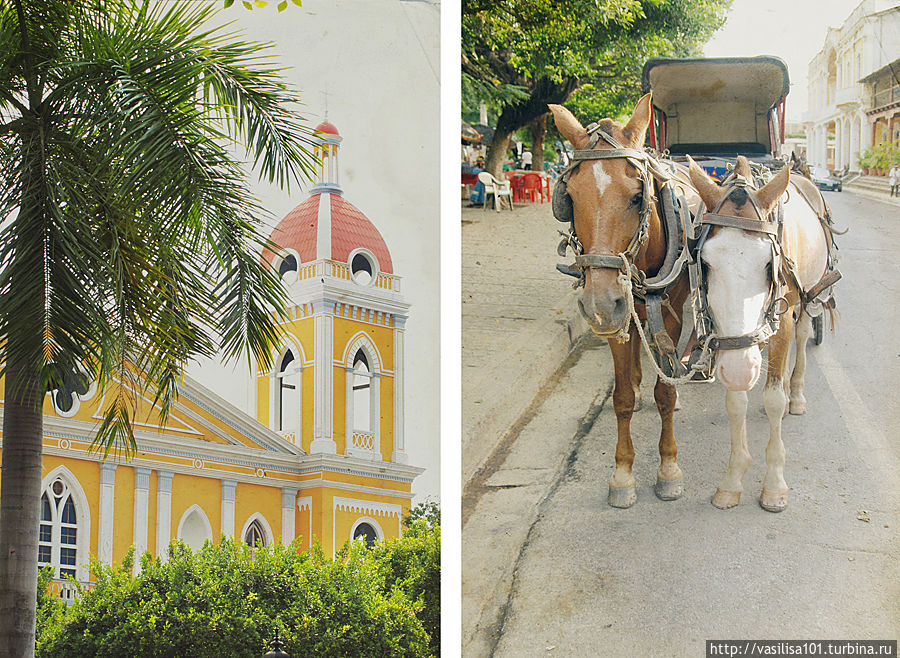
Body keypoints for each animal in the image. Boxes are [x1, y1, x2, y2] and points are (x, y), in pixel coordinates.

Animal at [548, 95, 704, 504]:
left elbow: (664, 393)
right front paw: (622, 473)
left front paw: (668, 469)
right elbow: (621, 398)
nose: (600, 304)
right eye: (569, 198)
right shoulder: (617, 317)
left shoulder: (671, 316)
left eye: (637, 197)